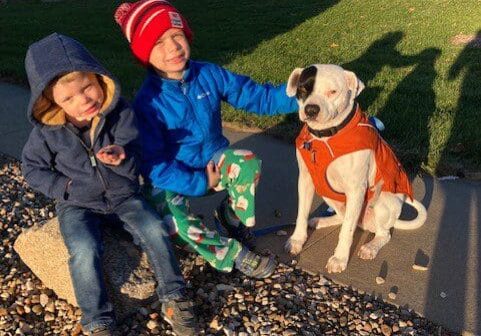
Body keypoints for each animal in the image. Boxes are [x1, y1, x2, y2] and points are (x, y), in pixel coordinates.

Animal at [284, 65, 426, 272]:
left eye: (333, 92)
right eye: (303, 89)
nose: (310, 109)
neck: (325, 137)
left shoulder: (356, 189)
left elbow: (347, 231)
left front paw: (340, 258)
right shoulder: (305, 181)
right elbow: (301, 213)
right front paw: (296, 240)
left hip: (381, 201)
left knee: (382, 233)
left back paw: (370, 247)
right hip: (329, 194)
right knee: (344, 218)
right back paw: (321, 220)